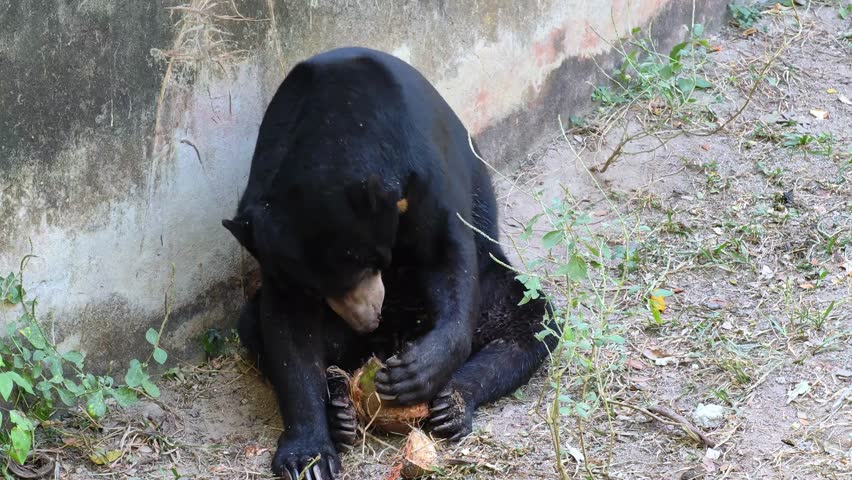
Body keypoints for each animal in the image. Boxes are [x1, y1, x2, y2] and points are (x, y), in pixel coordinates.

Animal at [223, 47, 554, 480]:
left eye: (367, 264)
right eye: (317, 289)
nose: (366, 320)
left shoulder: (422, 168)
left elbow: (447, 254)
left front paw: (417, 372)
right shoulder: (274, 242)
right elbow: (288, 330)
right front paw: (307, 459)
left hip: (492, 285)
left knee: (530, 321)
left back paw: (450, 405)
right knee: (252, 323)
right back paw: (340, 413)